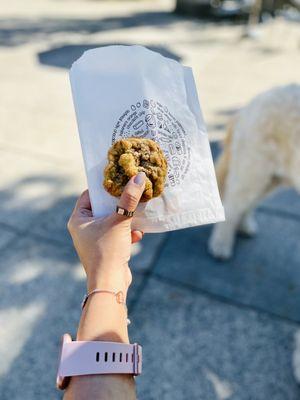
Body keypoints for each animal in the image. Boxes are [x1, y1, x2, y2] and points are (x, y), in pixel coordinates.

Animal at [209, 83, 300, 260]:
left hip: (269, 180)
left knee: (248, 204)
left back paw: (243, 225)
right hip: (252, 174)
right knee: (231, 207)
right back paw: (221, 245)